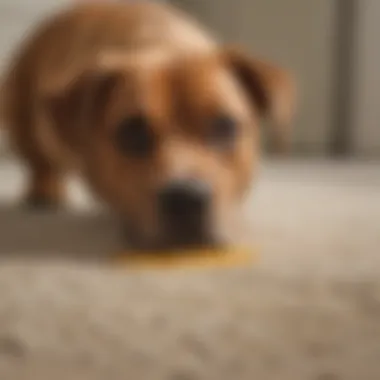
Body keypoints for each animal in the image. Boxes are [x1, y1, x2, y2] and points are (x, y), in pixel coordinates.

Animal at [0, 1, 296, 251]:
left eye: (224, 126)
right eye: (132, 133)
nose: (185, 199)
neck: (164, 43)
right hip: (21, 111)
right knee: (39, 159)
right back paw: (45, 189)